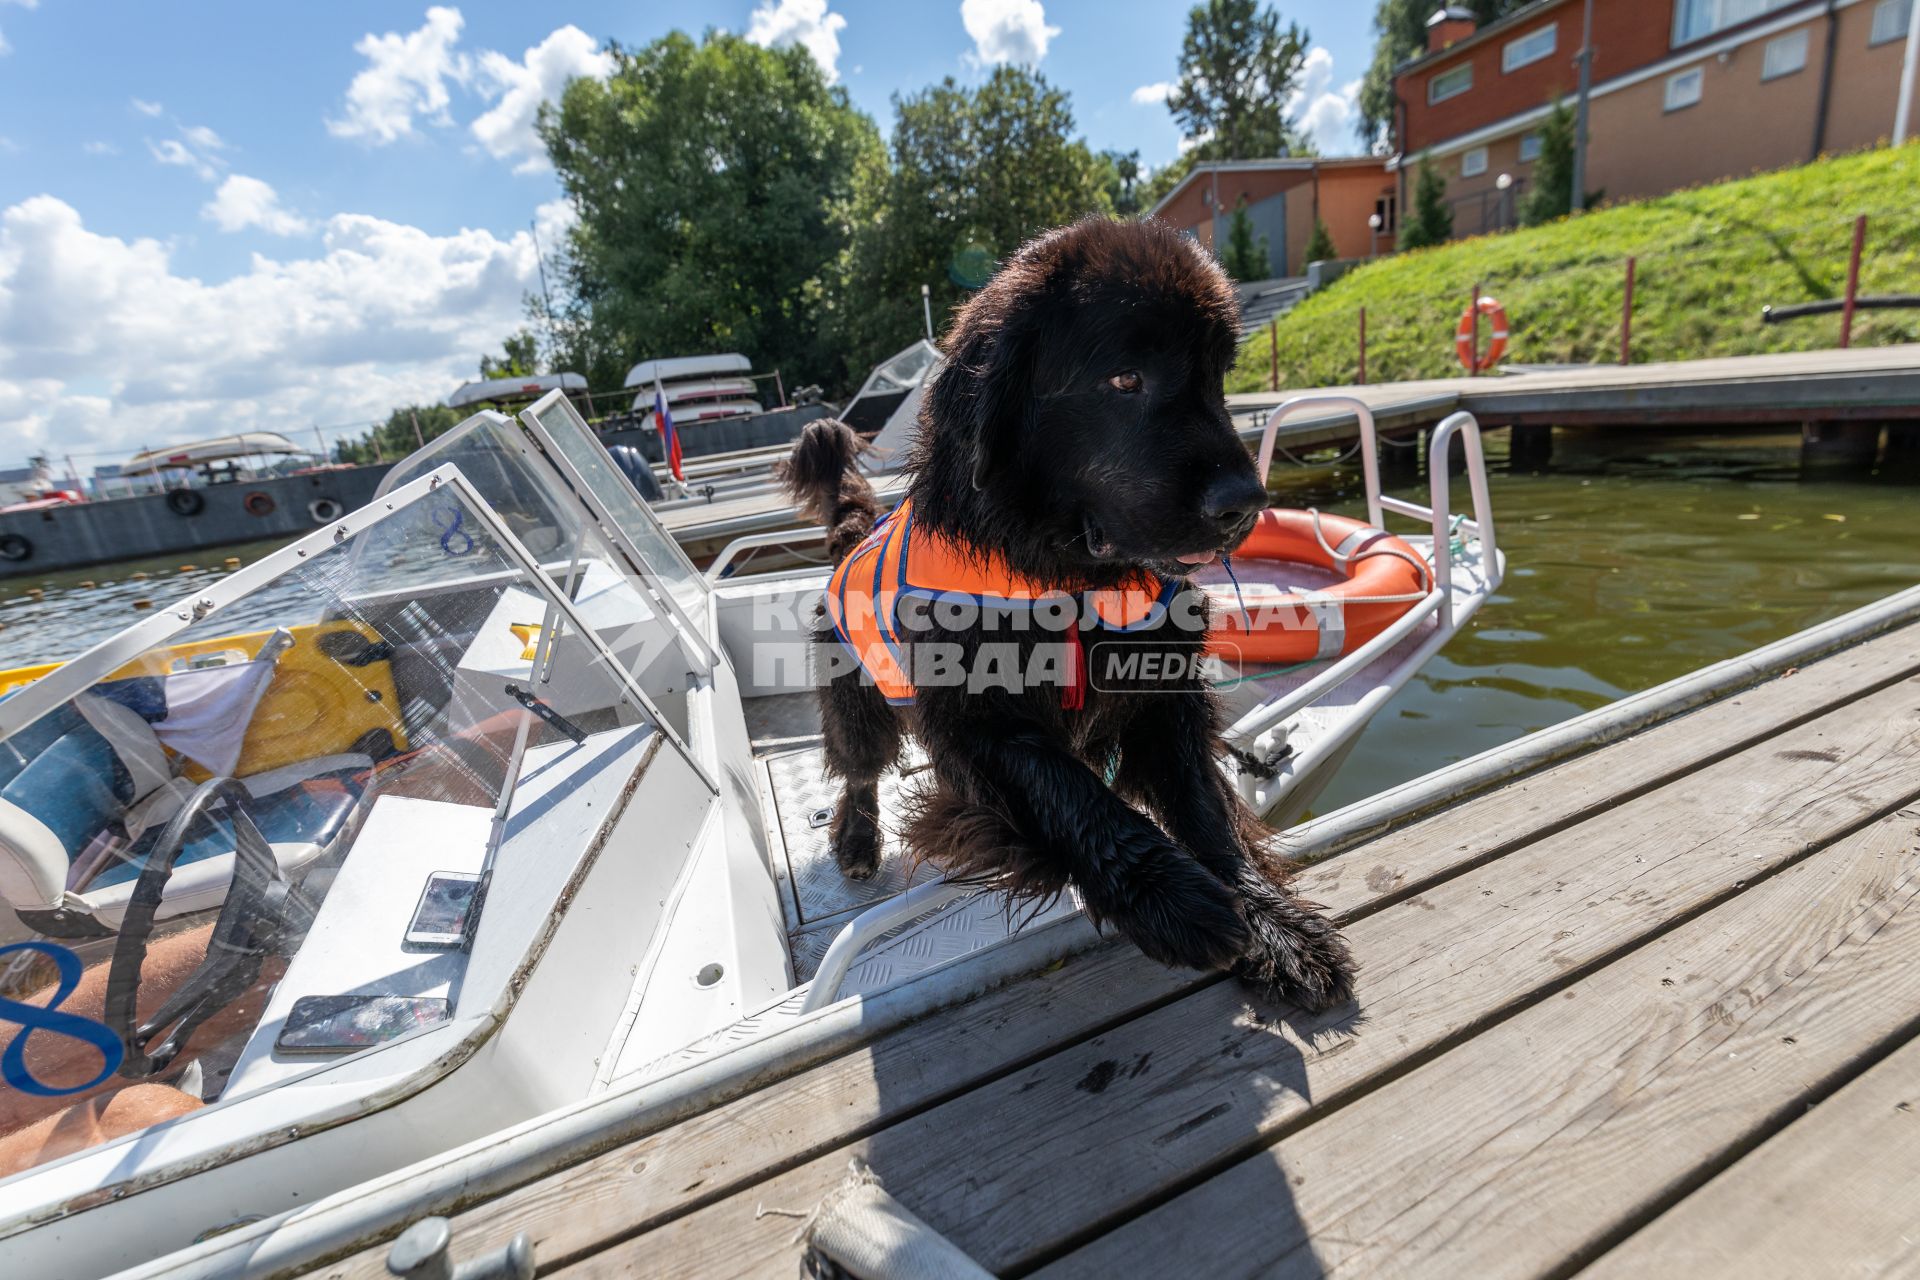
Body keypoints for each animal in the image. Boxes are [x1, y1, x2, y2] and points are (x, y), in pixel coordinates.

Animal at [779, 214, 1351, 1005]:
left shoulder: (1165, 695)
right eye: (1124, 379)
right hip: (857, 694)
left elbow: (1205, 807)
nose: (1245, 502)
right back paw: (857, 838)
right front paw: (1174, 901)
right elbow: (1071, 791)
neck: (1069, 578)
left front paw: (1274, 925)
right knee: (858, 765)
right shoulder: (978, 725)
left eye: (1216, 377)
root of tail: (853, 532)